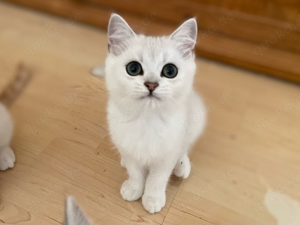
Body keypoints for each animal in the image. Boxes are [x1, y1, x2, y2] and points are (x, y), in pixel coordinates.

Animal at [104, 14, 205, 213]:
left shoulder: (167, 153)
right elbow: (135, 171)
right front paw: (134, 188)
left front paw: (152, 198)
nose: (151, 84)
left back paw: (182, 166)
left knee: (185, 147)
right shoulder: (127, 145)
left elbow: (157, 178)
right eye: (133, 68)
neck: (147, 119)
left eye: (170, 71)